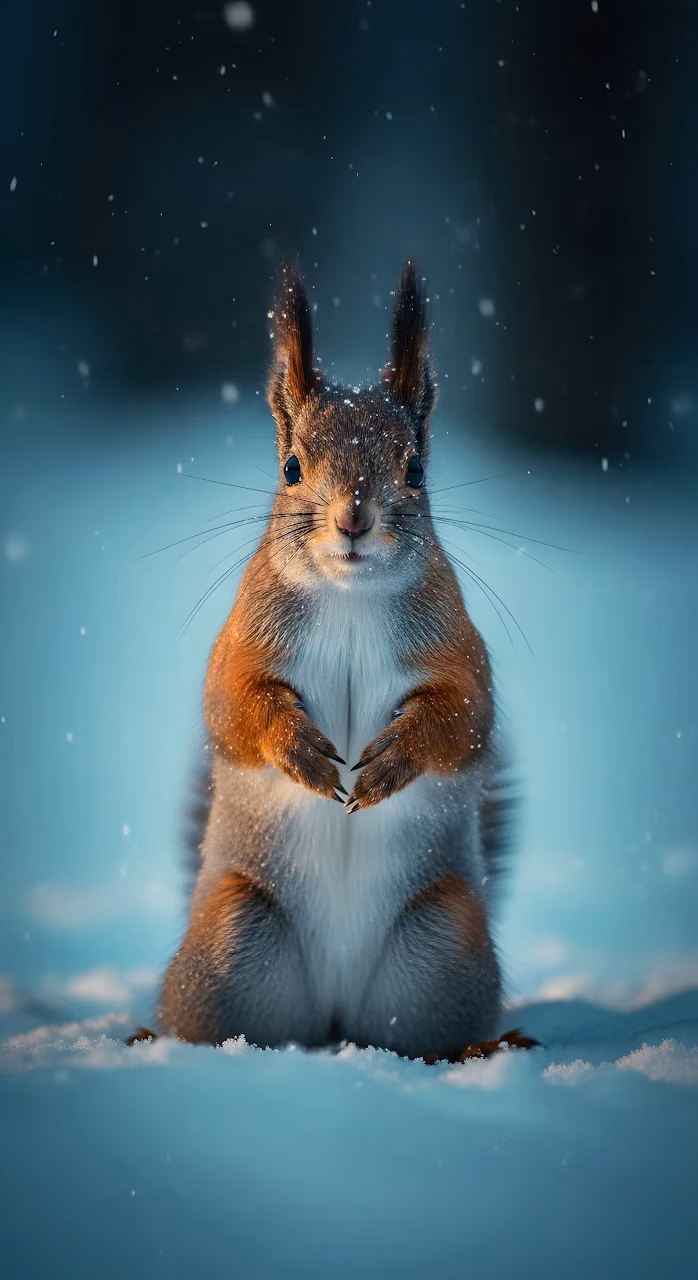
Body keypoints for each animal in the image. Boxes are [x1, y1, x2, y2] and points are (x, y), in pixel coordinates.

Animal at [156, 262, 536, 1062]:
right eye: (292, 465)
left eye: (416, 469)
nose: (353, 519)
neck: (349, 598)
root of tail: (333, 1024)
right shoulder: (238, 648)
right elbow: (234, 707)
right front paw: (299, 749)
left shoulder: (462, 656)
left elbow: (462, 720)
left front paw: (393, 759)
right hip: (232, 938)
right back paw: (155, 1038)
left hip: (446, 940)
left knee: (426, 1042)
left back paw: (486, 1048)